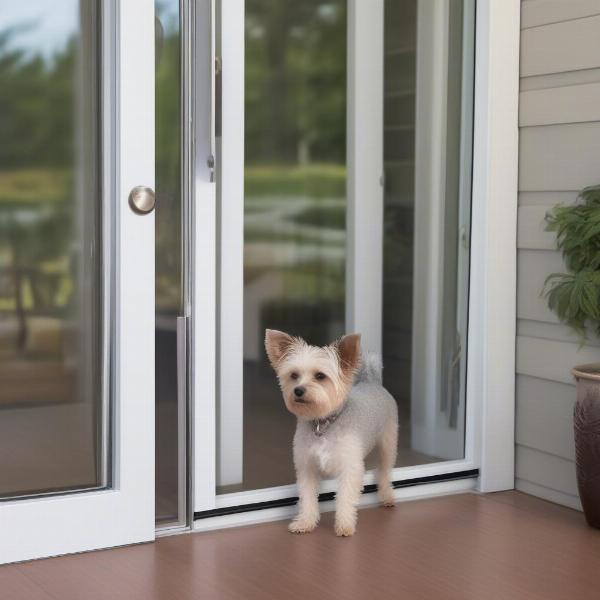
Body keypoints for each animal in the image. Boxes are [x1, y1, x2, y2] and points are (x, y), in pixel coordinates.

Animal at [264, 330, 396, 536]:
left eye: (320, 376)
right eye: (294, 375)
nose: (298, 390)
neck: (323, 423)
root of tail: (371, 382)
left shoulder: (350, 469)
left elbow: (345, 499)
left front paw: (344, 525)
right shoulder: (307, 468)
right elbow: (307, 499)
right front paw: (305, 522)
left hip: (387, 447)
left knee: (384, 472)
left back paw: (387, 496)